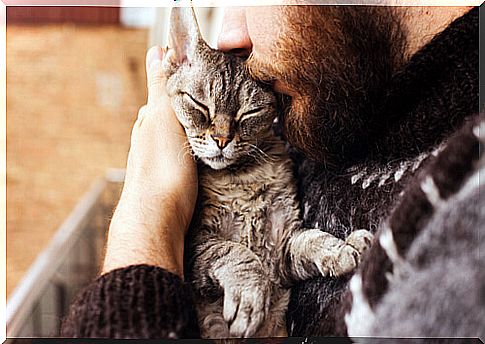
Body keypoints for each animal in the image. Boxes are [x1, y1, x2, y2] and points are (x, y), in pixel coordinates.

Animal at [161, 6, 372, 340]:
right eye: (200, 105)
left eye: (249, 113)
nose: (222, 139)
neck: (242, 177)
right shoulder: (194, 245)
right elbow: (236, 252)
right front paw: (251, 297)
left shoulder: (284, 244)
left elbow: (310, 239)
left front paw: (341, 247)